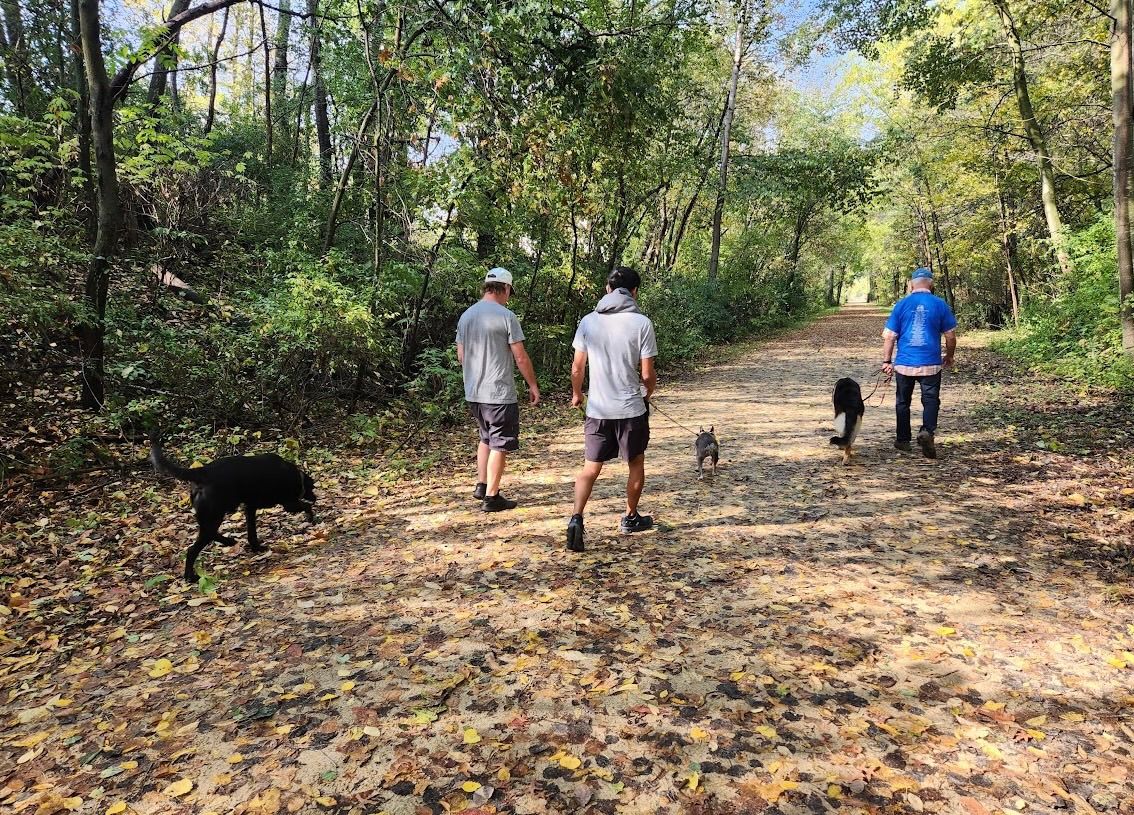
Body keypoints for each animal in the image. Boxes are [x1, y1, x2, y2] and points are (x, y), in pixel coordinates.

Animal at [148, 437, 315, 584]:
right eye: (312, 487)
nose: (315, 497)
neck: (295, 475)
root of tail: (203, 471)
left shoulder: (250, 507)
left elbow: (252, 532)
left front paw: (256, 547)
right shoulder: (289, 503)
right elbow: (306, 506)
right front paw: (311, 518)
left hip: (209, 516)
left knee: (208, 536)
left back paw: (228, 541)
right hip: (214, 516)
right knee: (192, 549)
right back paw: (191, 577)